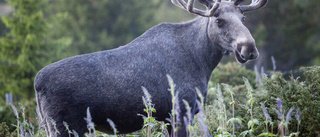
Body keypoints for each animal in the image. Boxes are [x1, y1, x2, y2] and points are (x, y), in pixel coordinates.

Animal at [34, 0, 268, 136]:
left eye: (243, 18)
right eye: (219, 20)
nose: (248, 48)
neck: (202, 62)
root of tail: (37, 84)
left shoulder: (168, 117)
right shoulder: (180, 110)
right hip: (64, 126)